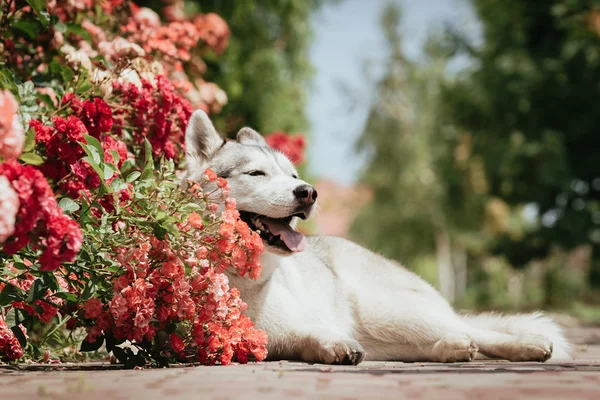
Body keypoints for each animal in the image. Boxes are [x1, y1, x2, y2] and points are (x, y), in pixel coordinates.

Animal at [184, 110, 572, 366]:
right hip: (386, 330)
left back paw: (527, 344)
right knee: (435, 342)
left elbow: (313, 328)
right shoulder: (275, 337)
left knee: (474, 329)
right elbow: (306, 337)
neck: (237, 280)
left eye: (292, 175)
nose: (308, 192)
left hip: (389, 310)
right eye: (256, 173)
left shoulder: (299, 319)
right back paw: (450, 348)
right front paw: (333, 347)